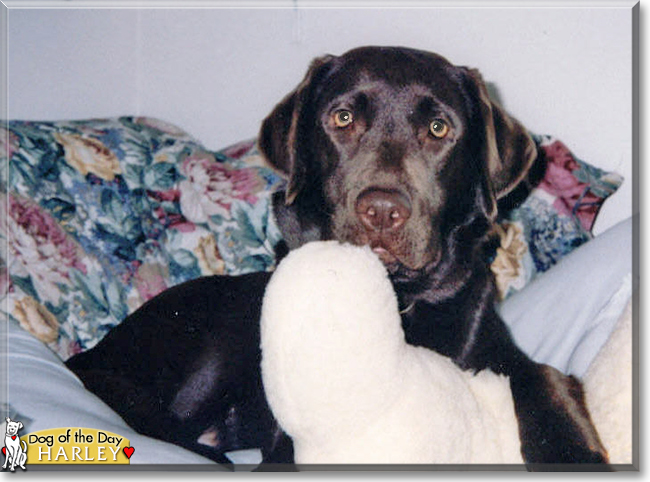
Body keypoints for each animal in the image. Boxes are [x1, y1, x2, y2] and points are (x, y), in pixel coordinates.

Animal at [63, 47, 604, 468]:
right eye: (343, 119)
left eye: (438, 128)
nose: (382, 210)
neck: (398, 299)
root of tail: (95, 351)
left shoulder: (499, 353)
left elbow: (546, 379)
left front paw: (573, 454)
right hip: (217, 338)